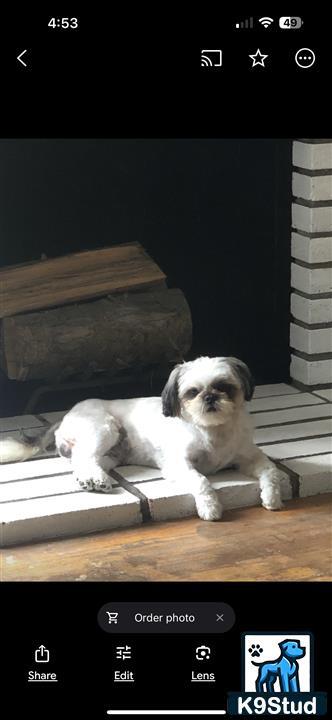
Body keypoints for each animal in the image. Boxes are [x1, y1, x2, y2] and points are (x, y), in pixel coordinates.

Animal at [0, 356, 282, 520]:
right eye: (192, 392)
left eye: (224, 387)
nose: (210, 397)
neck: (212, 430)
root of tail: (68, 414)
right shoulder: (179, 465)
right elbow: (201, 481)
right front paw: (210, 508)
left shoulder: (249, 456)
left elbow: (271, 472)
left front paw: (273, 498)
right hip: (104, 428)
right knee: (84, 456)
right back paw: (93, 480)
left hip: (113, 454)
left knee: (85, 462)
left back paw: (94, 479)